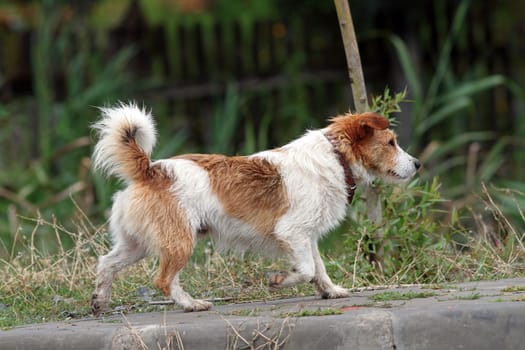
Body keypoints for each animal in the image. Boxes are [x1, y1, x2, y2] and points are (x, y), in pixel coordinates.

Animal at [89, 102, 418, 314]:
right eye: (391, 142)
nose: (418, 163)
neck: (336, 157)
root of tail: (150, 169)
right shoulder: (292, 232)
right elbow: (306, 268)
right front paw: (280, 280)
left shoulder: (306, 236)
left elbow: (318, 268)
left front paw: (330, 291)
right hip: (179, 241)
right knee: (162, 280)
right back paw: (191, 304)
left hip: (138, 244)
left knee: (106, 263)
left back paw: (100, 300)